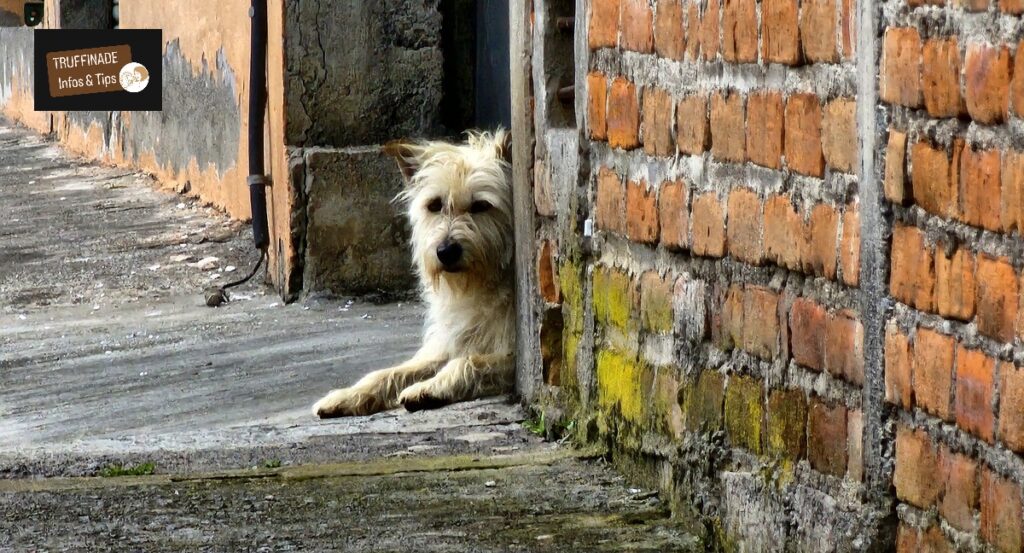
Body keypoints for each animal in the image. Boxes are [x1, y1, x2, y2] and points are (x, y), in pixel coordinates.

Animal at [311, 128, 516, 413]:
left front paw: (431, 387)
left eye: (481, 206)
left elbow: (467, 362)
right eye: (434, 205)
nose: (446, 251)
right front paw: (348, 395)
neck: (482, 283)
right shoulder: (448, 344)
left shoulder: (514, 357)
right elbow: (391, 372)